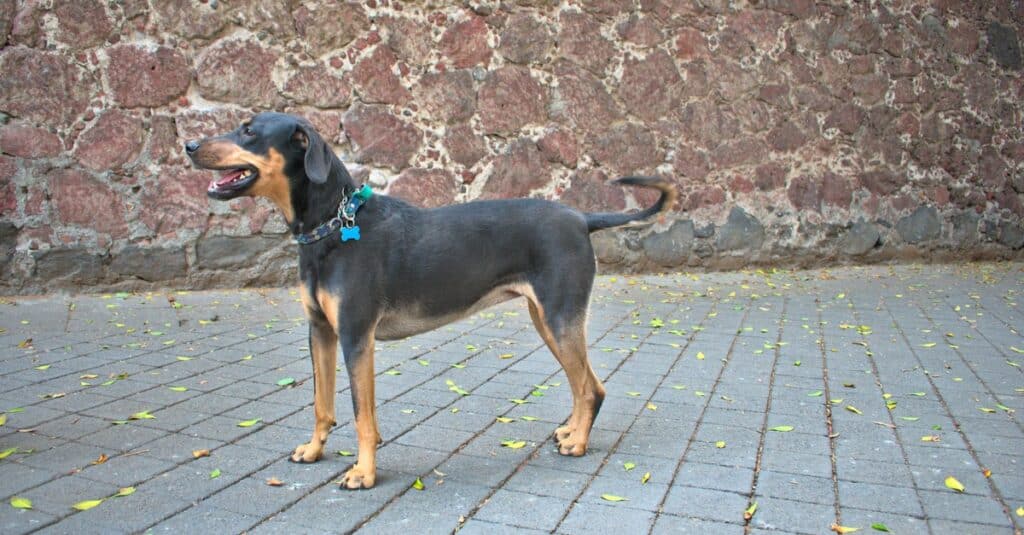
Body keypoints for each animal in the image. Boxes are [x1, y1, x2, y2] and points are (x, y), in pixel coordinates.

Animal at [186, 112, 679, 487]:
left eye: (249, 131)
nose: (189, 144)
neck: (334, 225)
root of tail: (581, 217)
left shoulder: (356, 337)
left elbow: (362, 416)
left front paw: (364, 473)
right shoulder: (321, 332)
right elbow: (322, 405)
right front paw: (313, 450)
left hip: (559, 317)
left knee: (590, 387)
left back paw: (578, 443)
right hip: (547, 320)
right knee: (583, 386)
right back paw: (571, 432)